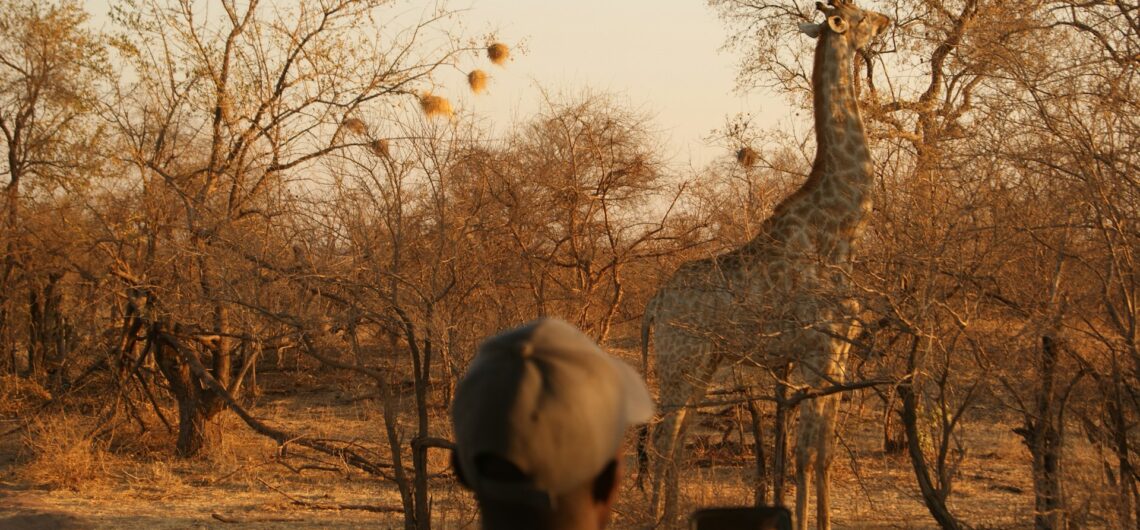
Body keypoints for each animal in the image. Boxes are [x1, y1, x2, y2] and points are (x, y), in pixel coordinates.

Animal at [640, 2, 890, 528]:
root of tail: (654, 302)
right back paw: (655, 518)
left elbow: (824, 453)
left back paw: (672, 515)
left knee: (678, 435)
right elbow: (804, 453)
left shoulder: (838, 353)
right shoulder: (816, 352)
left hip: (705, 363)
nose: (885, 21)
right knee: (664, 435)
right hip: (680, 359)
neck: (840, 232)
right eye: (859, 15)